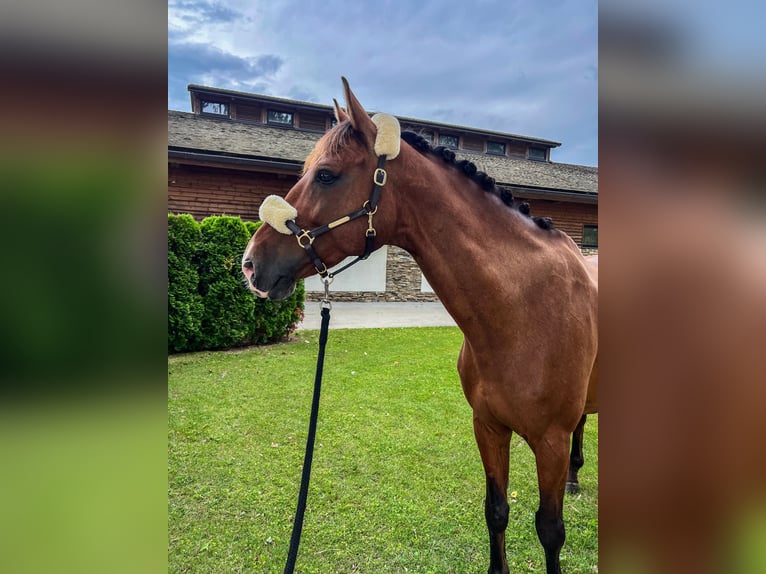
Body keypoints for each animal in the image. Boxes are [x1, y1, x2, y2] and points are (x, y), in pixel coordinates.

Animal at [242, 77, 600, 574]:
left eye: (326, 174)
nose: (250, 264)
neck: (523, 310)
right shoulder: (488, 428)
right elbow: (497, 511)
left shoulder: (549, 441)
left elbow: (550, 531)